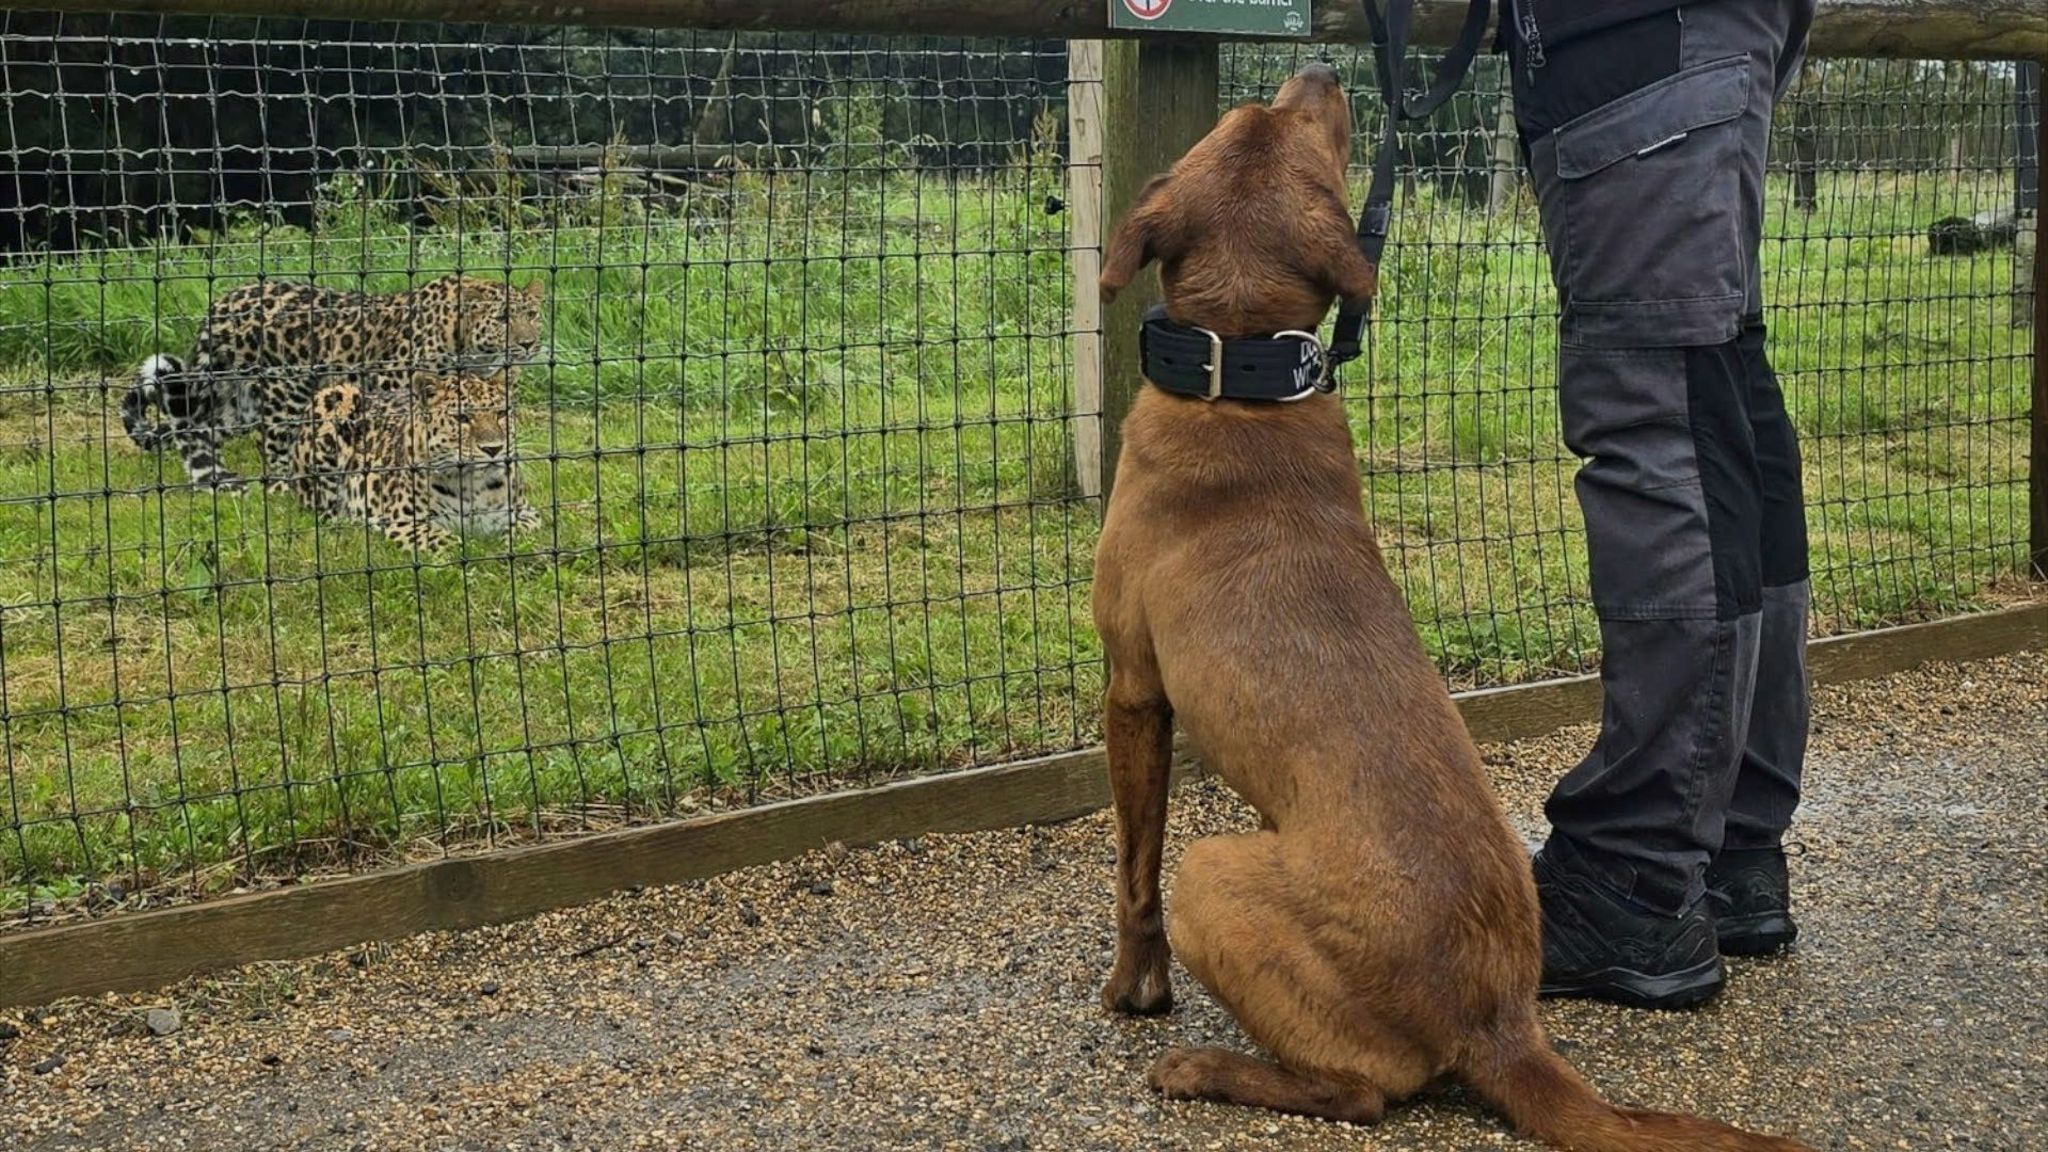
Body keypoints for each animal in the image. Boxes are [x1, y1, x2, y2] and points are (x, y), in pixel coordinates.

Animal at [121, 272, 544, 487]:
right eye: (503, 318)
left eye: (533, 315)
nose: (528, 343)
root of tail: (221, 305)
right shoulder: (391, 387)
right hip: (282, 395)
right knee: (271, 451)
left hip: (235, 402)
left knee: (198, 430)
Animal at [292, 364, 544, 549]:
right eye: (461, 418)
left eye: (501, 413)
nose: (493, 449)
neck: (475, 488)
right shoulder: (402, 522)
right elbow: (447, 542)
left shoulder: (529, 512)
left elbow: (521, 530)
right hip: (335, 395)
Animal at [1097, 62, 1818, 1147]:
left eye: (1272, 119)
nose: (1324, 68)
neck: (1240, 375)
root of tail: (1500, 1024)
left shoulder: (1133, 689)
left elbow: (1132, 871)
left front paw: (1134, 989)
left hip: (1214, 871)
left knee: (1360, 1092)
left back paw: (1209, 1067)